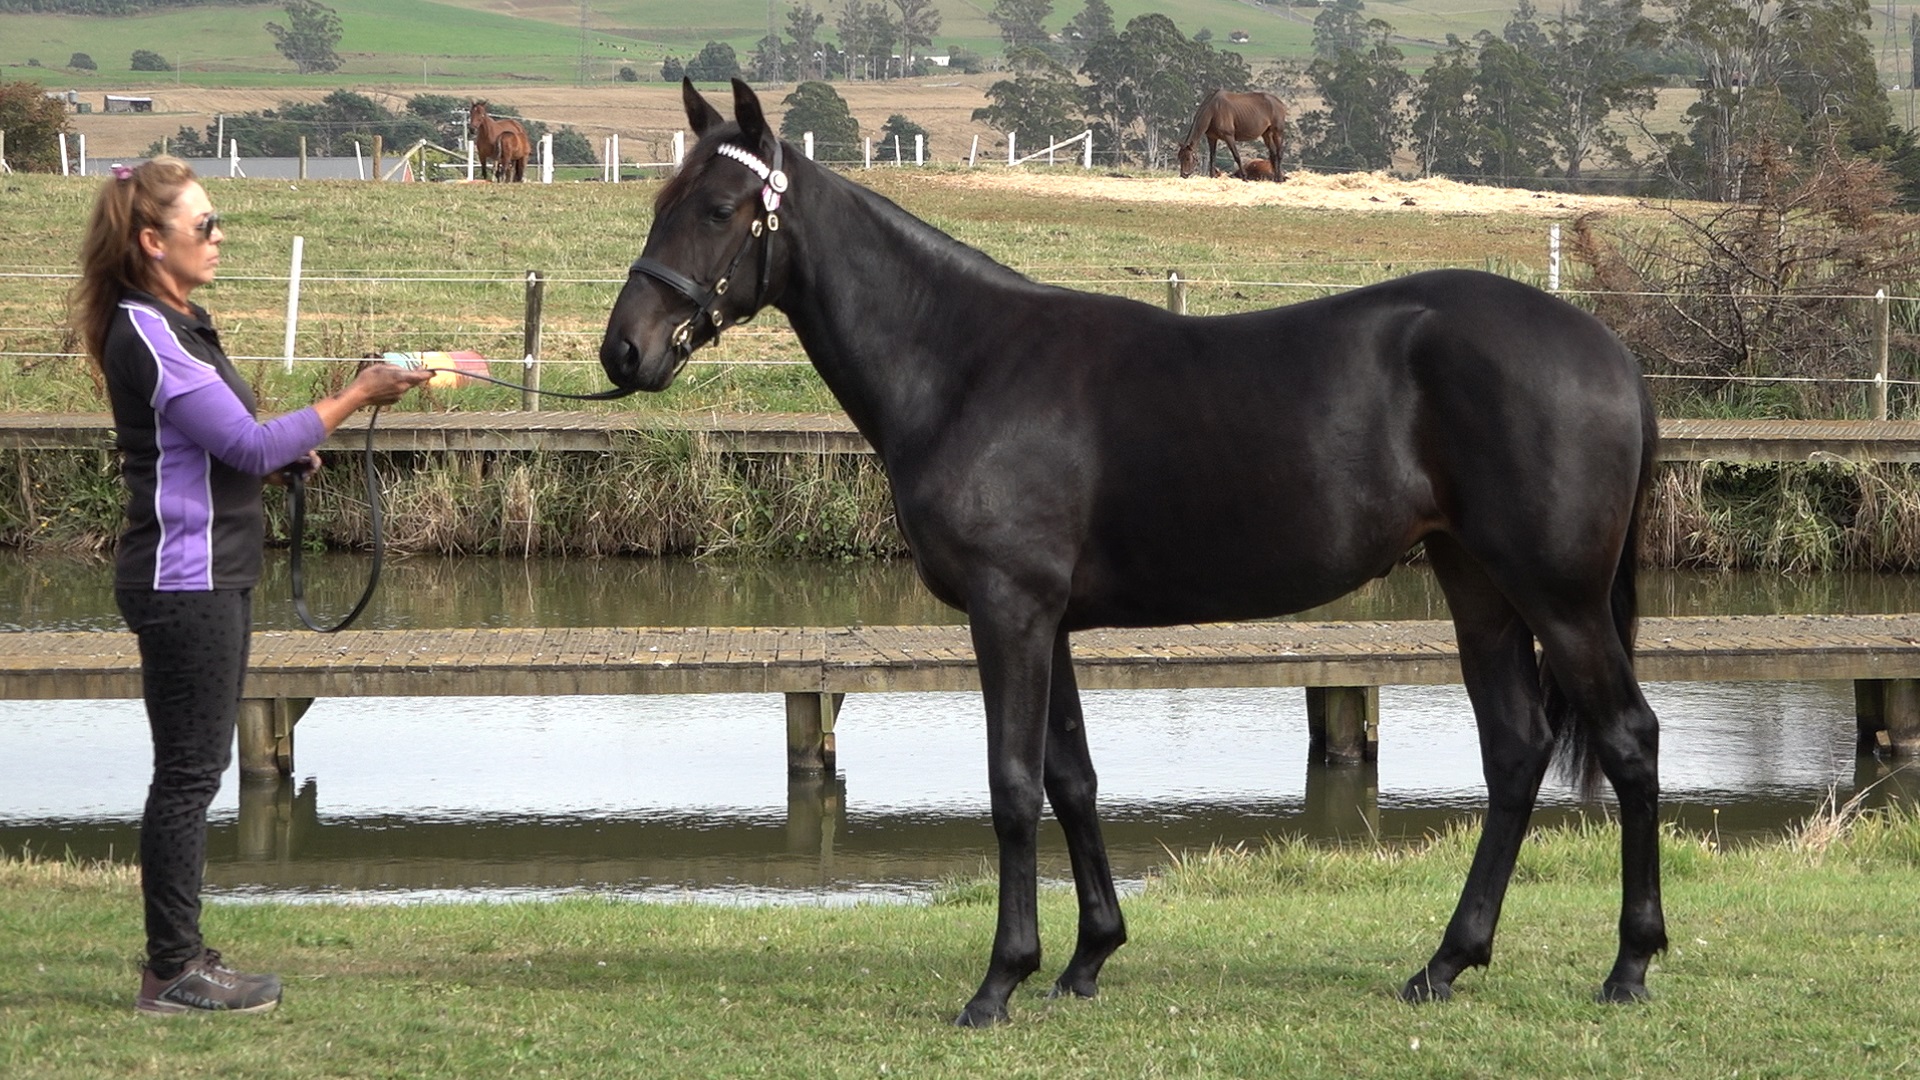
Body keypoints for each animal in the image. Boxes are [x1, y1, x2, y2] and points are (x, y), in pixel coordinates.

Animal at [602, 79, 1665, 1028]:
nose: (625, 352)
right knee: (1516, 750)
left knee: (1629, 740)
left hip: (1561, 600)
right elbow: (1072, 780)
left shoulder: (1009, 612)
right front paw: (1087, 960)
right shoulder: (1052, 622)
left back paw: (1629, 965)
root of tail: (1612, 352)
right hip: (1478, 586)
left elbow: (1012, 786)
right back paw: (1447, 962)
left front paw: (1000, 982)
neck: (966, 364)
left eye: (719, 209)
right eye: (659, 203)